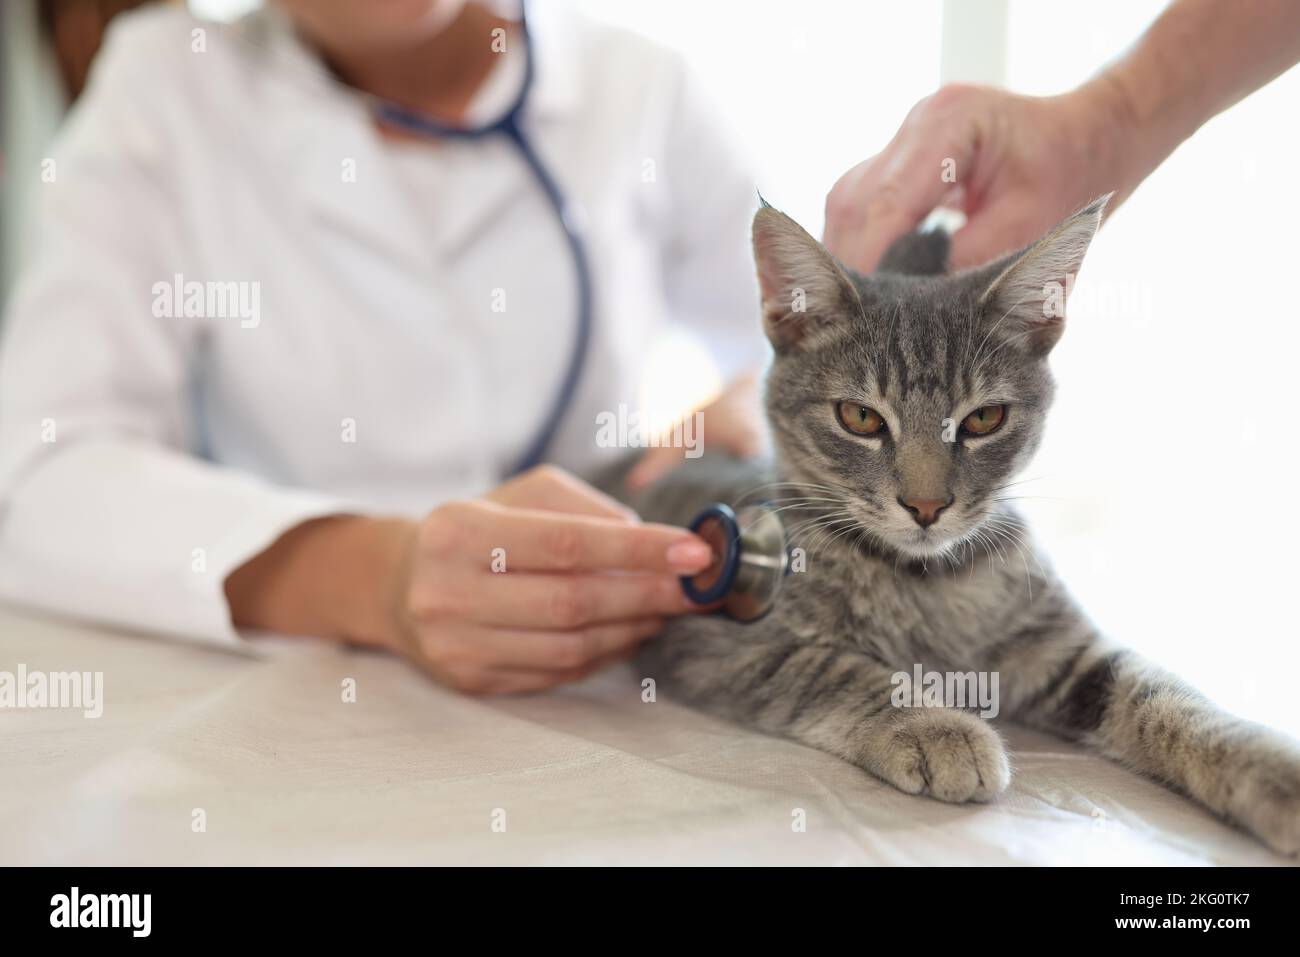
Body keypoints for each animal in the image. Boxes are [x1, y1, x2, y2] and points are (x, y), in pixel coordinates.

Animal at [611, 197, 1300, 858]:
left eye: (984, 419)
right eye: (860, 417)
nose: (925, 505)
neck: (929, 580)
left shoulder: (1060, 650)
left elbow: (1163, 694)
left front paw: (1265, 765)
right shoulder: (715, 640)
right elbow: (832, 670)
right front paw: (938, 730)